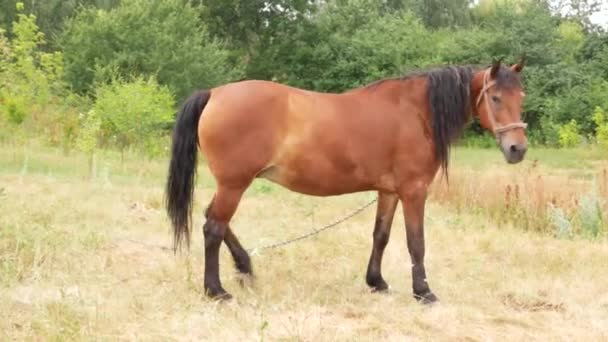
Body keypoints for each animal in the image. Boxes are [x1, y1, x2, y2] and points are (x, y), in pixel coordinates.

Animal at [165, 58, 528, 302]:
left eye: (520, 96)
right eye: (495, 97)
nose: (518, 149)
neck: (416, 112)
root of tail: (214, 94)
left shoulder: (389, 191)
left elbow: (381, 236)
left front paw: (376, 281)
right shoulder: (414, 190)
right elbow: (416, 242)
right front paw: (423, 291)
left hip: (232, 184)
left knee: (215, 221)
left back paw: (244, 266)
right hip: (234, 184)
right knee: (213, 227)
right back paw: (216, 290)